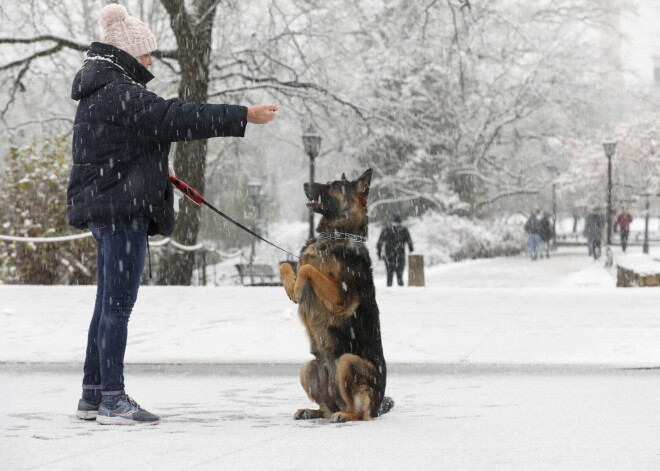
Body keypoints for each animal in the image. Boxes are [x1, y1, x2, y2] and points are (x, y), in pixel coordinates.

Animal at [278, 170, 392, 424]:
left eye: (334, 186)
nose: (305, 183)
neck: (337, 234)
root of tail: (379, 407)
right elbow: (287, 265)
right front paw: (293, 288)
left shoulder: (340, 298)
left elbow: (307, 268)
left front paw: (298, 288)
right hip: (308, 368)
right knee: (325, 408)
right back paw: (311, 411)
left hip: (347, 361)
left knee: (360, 413)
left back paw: (345, 414)